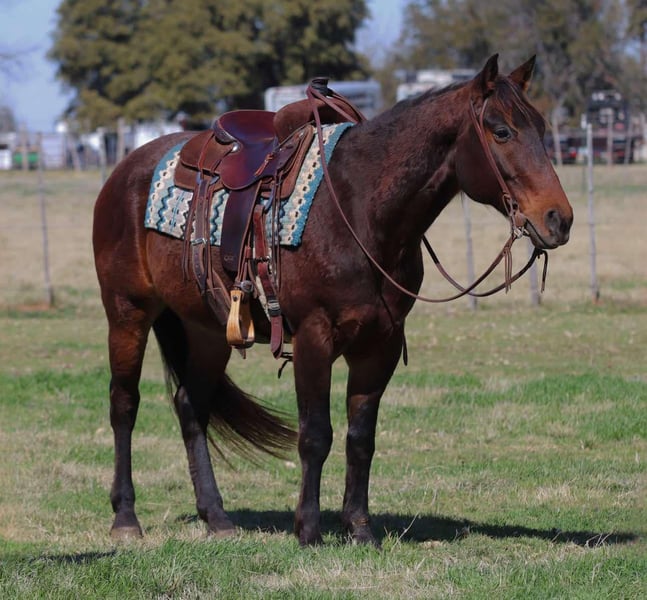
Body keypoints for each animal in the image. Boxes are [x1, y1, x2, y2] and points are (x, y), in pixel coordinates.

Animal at [93, 54, 573, 547]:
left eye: (540, 127)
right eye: (501, 131)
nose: (559, 219)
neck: (360, 209)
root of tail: (125, 169)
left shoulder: (380, 345)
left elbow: (361, 438)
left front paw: (359, 527)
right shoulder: (314, 339)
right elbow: (315, 435)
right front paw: (308, 529)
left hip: (207, 329)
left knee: (191, 407)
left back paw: (217, 517)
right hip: (127, 312)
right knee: (124, 404)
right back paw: (126, 517)